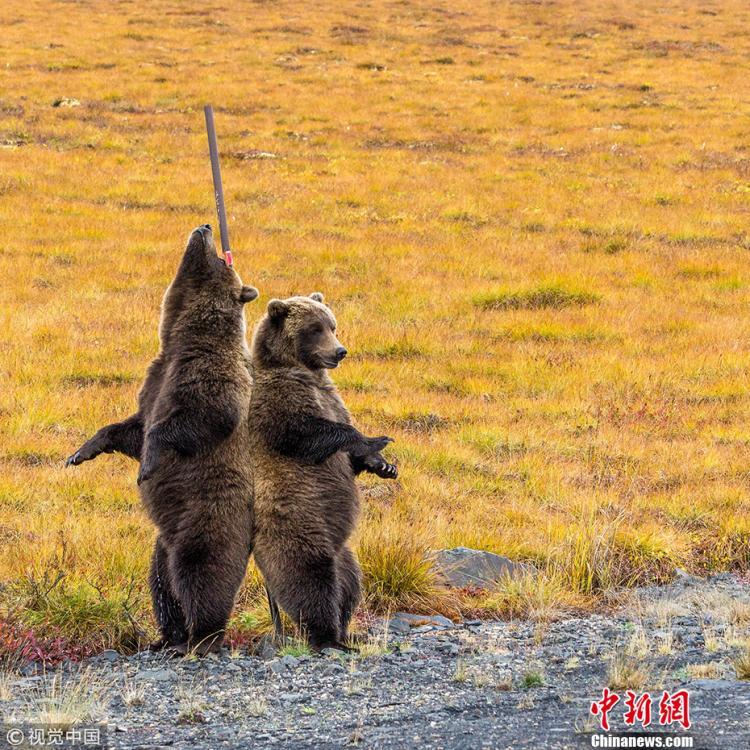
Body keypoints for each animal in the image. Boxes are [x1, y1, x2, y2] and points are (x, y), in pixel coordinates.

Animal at [68, 226, 262, 656]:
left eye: (220, 257)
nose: (205, 227)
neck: (182, 336)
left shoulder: (208, 371)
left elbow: (202, 415)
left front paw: (148, 465)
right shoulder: (155, 378)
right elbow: (131, 429)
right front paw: (81, 452)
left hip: (206, 521)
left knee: (201, 577)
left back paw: (202, 636)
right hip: (163, 543)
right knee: (161, 583)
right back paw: (167, 637)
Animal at [248, 294, 400, 652]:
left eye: (333, 325)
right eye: (314, 329)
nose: (340, 351)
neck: (307, 374)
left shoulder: (331, 397)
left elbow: (351, 455)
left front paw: (383, 465)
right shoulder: (279, 404)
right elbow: (308, 433)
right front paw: (374, 439)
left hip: (342, 550)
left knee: (349, 581)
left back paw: (348, 631)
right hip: (299, 528)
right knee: (310, 580)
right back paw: (327, 637)